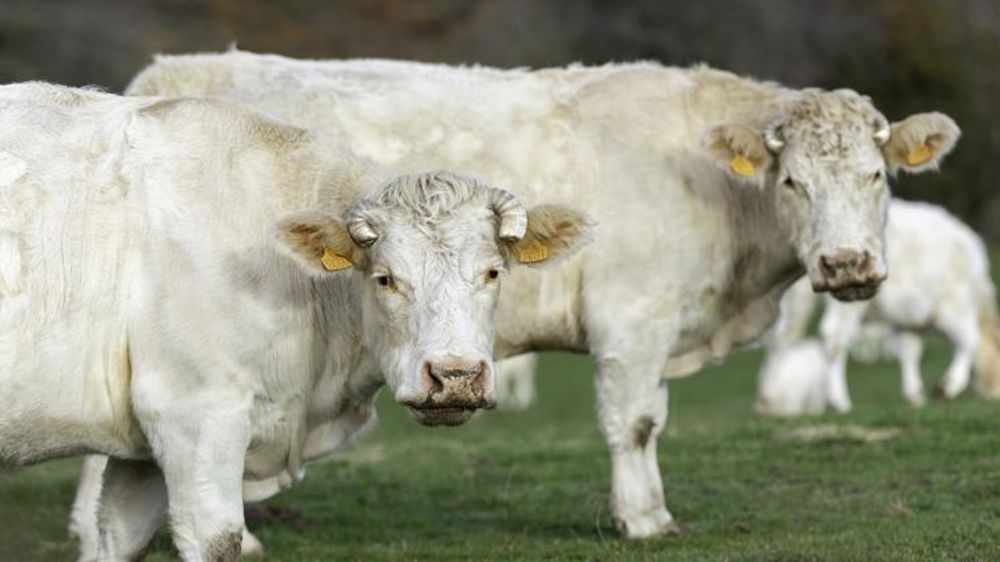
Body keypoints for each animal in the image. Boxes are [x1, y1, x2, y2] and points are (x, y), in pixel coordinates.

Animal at [0, 82, 591, 561]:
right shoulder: (194, 409)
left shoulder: (142, 447)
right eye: (385, 279)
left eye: (493, 272)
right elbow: (216, 539)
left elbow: (121, 539)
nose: (456, 377)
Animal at [119, 50, 962, 539]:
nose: (848, 264)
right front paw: (645, 519)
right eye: (793, 182)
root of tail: (161, 75)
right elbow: (636, 423)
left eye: (877, 176)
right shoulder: (633, 320)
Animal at [756, 200, 1000, 415]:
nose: (994, 396)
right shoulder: (953, 308)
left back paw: (768, 398)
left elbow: (910, 352)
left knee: (784, 339)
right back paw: (839, 401)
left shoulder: (909, 321)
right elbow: (969, 341)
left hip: (795, 298)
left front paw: (914, 395)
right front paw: (947, 387)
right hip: (848, 296)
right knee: (834, 338)